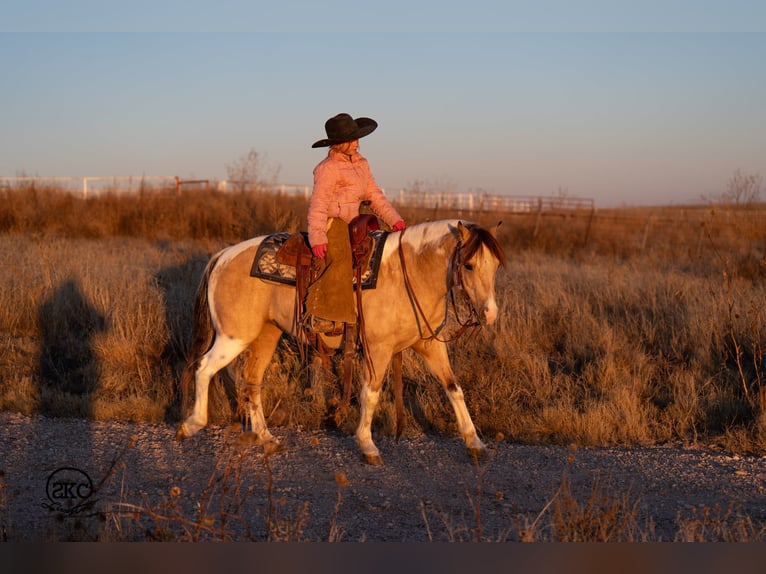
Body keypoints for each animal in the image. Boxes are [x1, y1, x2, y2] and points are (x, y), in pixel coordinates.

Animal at [177, 219, 506, 464]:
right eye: (469, 265)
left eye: (495, 266)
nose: (490, 314)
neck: (408, 274)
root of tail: (223, 256)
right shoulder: (378, 349)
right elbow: (370, 394)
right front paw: (367, 446)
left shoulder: (430, 345)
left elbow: (453, 389)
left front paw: (475, 443)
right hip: (234, 336)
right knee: (204, 368)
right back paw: (191, 425)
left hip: (265, 336)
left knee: (250, 381)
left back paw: (266, 438)